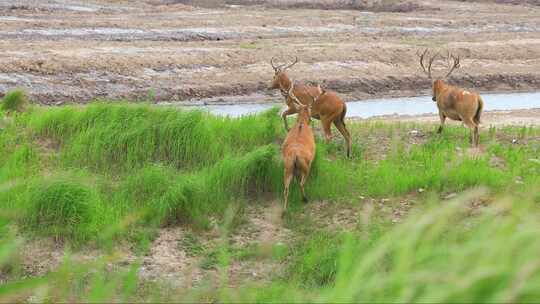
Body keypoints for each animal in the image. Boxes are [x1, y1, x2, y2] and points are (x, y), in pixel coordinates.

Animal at [282, 85, 316, 214]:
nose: (311, 119)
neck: (301, 123)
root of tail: (295, 156)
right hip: (306, 166)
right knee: (302, 183)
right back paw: (305, 199)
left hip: (287, 168)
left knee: (286, 188)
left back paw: (284, 210)